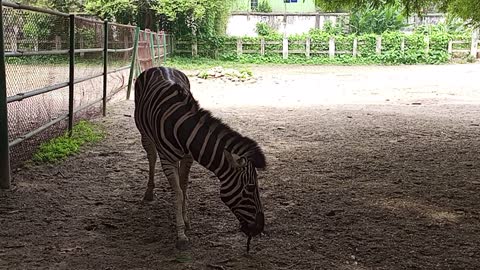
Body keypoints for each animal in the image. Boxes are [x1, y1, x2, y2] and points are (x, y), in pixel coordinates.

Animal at [133, 66, 266, 250]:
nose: (260, 227)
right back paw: (149, 192)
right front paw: (181, 235)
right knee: (151, 157)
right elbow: (178, 193)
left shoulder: (188, 158)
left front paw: (186, 220)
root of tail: (160, 67)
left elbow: (183, 187)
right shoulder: (167, 159)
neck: (182, 129)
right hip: (144, 133)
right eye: (250, 187)